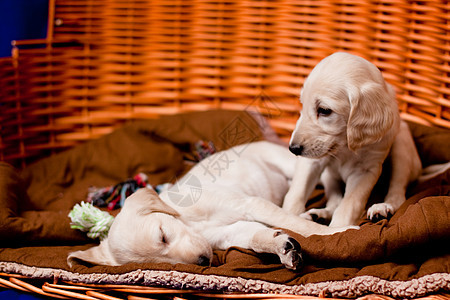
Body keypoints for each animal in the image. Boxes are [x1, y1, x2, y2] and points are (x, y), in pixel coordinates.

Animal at [67, 141, 356, 270]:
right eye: (160, 262)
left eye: (162, 235)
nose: (203, 261)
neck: (190, 222)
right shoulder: (229, 233)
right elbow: (256, 236)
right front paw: (279, 246)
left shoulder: (250, 204)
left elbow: (294, 223)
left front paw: (341, 233)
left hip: (291, 166)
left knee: (326, 184)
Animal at [284, 52, 422, 227]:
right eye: (302, 105)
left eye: (324, 110)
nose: (293, 148)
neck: (345, 147)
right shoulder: (312, 161)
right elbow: (297, 192)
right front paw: (287, 216)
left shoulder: (365, 170)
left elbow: (349, 204)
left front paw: (338, 228)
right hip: (328, 177)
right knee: (334, 200)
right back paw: (319, 214)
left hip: (402, 148)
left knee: (397, 193)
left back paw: (382, 207)